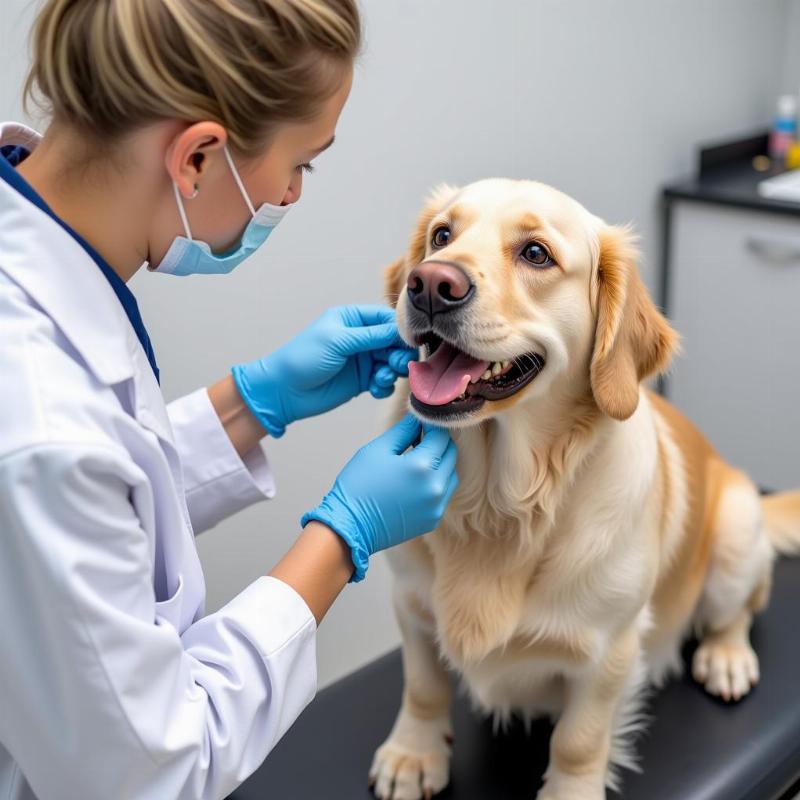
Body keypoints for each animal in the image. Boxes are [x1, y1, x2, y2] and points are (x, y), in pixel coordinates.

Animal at [368, 181, 800, 800]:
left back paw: (726, 657)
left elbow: (579, 739)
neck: (499, 504)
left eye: (536, 254)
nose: (428, 283)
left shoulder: (609, 651)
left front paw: (570, 789)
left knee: (738, 610)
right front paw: (413, 754)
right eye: (442, 235)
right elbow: (423, 686)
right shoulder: (410, 605)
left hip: (737, 534)